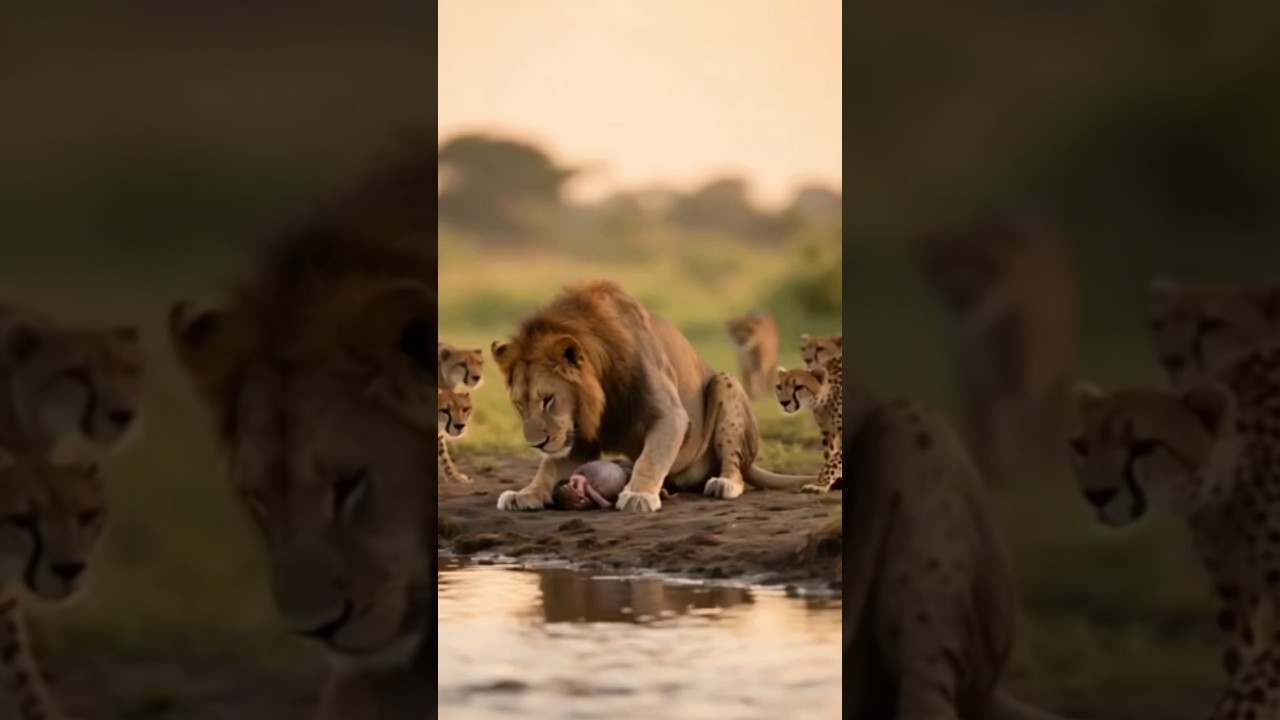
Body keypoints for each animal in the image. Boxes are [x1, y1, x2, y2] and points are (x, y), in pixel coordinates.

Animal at [489, 281, 815, 513]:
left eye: (548, 399)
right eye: (519, 404)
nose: (537, 444)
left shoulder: (670, 413)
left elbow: (652, 457)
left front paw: (638, 494)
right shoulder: (576, 437)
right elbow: (548, 468)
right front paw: (524, 494)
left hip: (726, 382)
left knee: (734, 465)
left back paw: (724, 484)